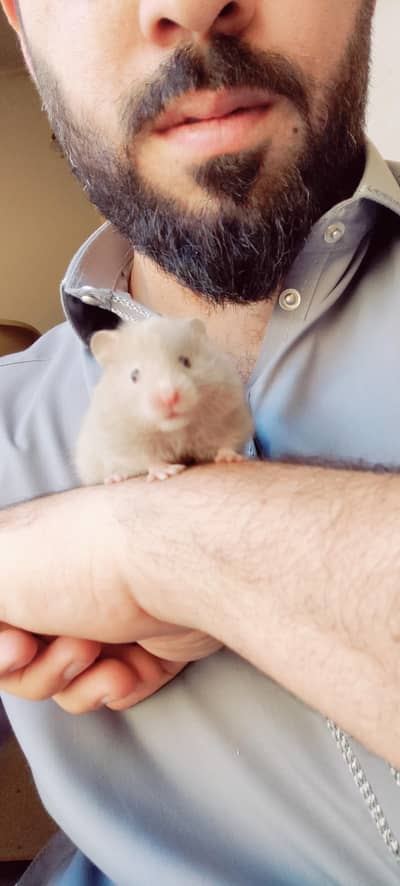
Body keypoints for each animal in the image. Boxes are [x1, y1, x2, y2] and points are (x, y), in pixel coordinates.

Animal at [75, 315, 254, 485]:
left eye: (186, 361)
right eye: (134, 375)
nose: (169, 398)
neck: (175, 429)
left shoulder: (230, 415)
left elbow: (227, 441)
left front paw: (230, 458)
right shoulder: (124, 441)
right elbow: (148, 459)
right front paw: (166, 472)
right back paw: (114, 478)